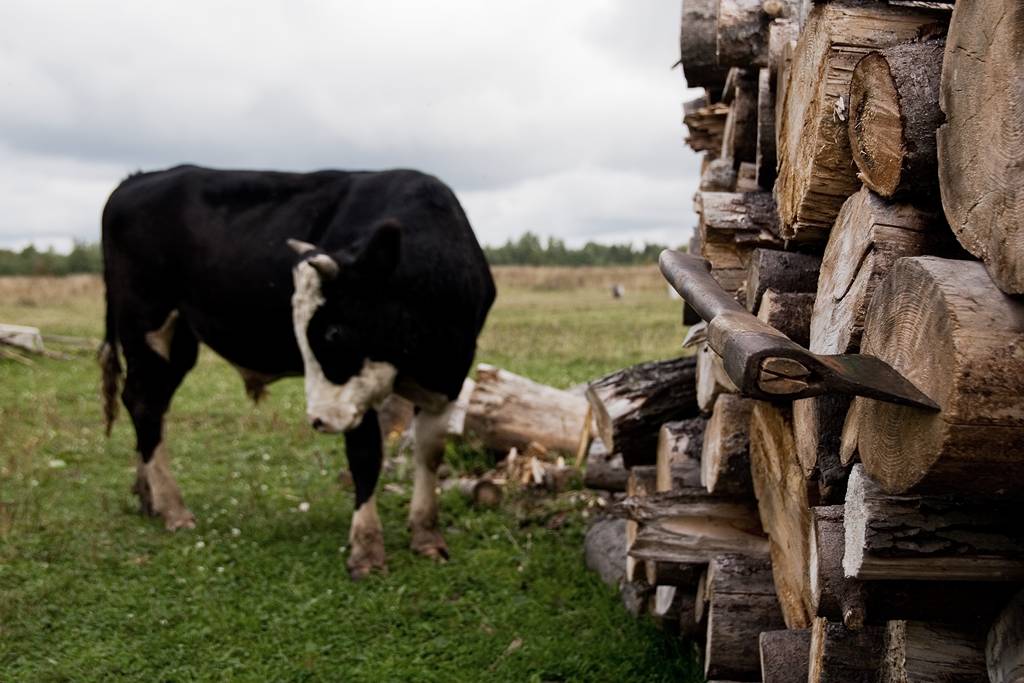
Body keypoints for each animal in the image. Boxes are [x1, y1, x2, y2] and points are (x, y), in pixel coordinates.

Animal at [99, 163, 495, 577]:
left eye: (334, 332)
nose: (318, 420)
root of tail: (140, 178)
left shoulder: (448, 377)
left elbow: (429, 453)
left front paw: (426, 535)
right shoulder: (356, 399)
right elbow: (366, 457)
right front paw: (366, 549)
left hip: (178, 341)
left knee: (150, 406)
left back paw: (148, 498)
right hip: (148, 325)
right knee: (144, 404)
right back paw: (173, 508)